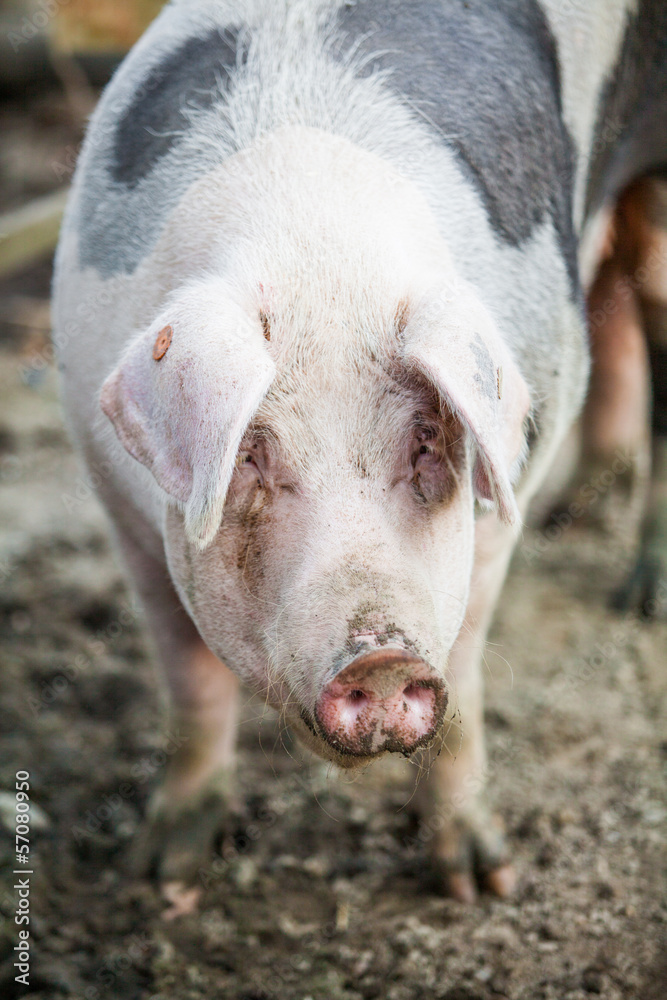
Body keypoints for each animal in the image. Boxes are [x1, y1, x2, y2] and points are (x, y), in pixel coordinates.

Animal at [52, 0, 667, 901]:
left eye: (424, 443)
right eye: (250, 455)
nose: (377, 657)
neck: (317, 248)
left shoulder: (496, 505)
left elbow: (466, 671)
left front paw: (478, 884)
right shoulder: (115, 499)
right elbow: (189, 682)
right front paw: (163, 878)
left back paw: (638, 599)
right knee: (615, 299)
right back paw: (579, 512)